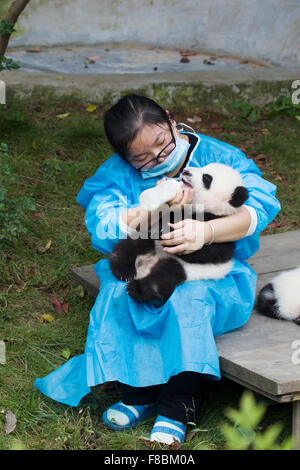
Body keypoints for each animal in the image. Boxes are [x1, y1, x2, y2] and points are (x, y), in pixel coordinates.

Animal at [109, 164, 248, 304]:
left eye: (206, 178)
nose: (186, 171)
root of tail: (146, 265)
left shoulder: (220, 228)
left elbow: (208, 252)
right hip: (148, 244)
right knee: (132, 244)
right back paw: (123, 271)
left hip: (184, 269)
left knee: (163, 278)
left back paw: (137, 289)